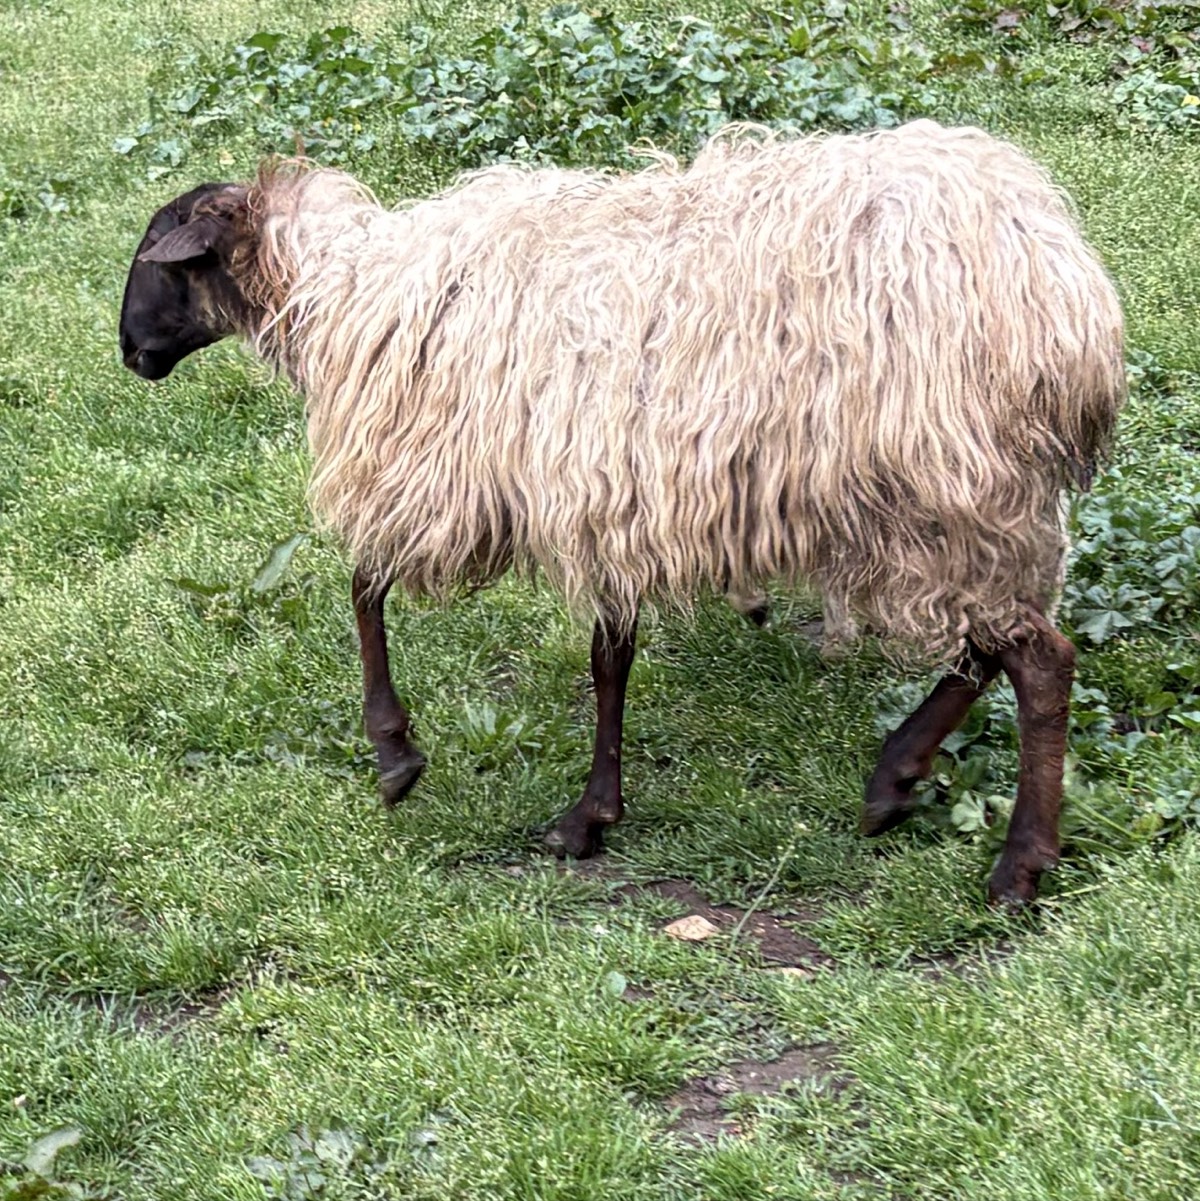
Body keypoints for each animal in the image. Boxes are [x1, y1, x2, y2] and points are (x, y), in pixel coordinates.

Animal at [118, 120, 1126, 905]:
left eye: (155, 257)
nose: (129, 352)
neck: (338, 290)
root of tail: (1066, 294)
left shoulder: (441, 471)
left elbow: (364, 588)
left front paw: (397, 756)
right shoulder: (603, 490)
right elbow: (611, 657)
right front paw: (594, 810)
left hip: (943, 490)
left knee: (1036, 659)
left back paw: (1018, 867)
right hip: (963, 504)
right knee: (987, 647)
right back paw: (896, 780)